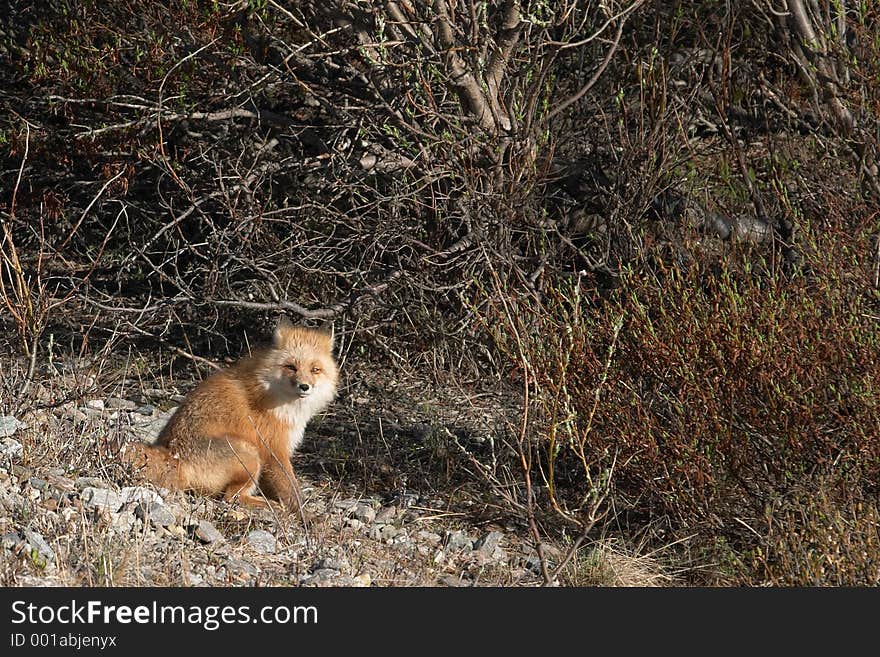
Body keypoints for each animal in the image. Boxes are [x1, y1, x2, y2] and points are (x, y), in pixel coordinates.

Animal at [125, 320, 338, 510]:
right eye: (291, 367)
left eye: (315, 370)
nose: (304, 386)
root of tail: (174, 456)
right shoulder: (273, 450)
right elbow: (292, 490)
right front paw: (306, 516)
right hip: (250, 454)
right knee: (231, 498)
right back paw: (268, 505)